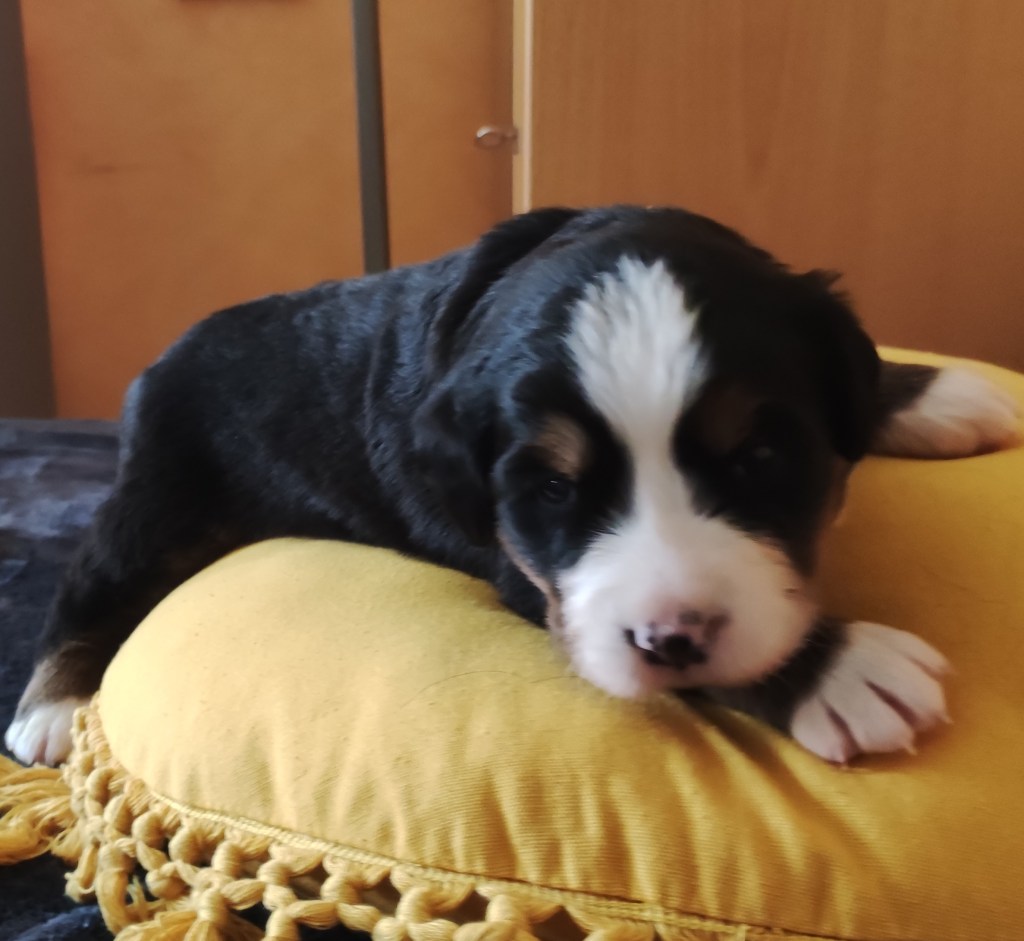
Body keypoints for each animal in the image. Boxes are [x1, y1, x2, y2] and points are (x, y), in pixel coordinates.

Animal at [6, 205, 1019, 767]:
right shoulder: (521, 569)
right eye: (554, 490)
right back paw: (50, 710)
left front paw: (934, 392)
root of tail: (171, 349)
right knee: (88, 581)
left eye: (760, 458)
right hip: (158, 501)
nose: (672, 639)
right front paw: (842, 668)